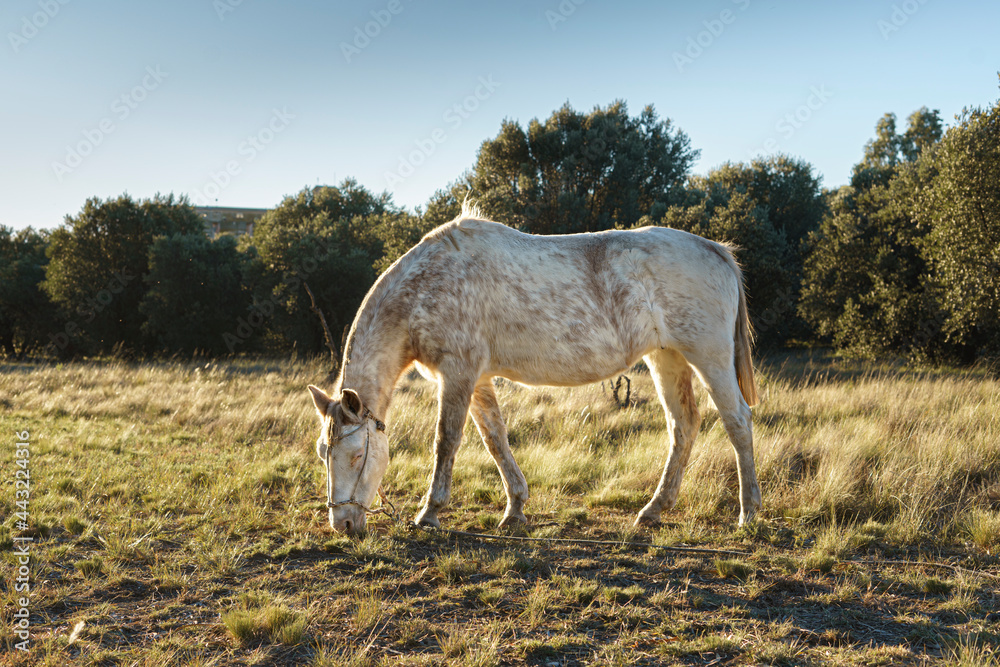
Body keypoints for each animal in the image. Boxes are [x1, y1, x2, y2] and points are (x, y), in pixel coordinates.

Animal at [307, 207, 760, 536]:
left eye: (358, 454)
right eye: (323, 452)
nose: (343, 524)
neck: (427, 285)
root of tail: (716, 249)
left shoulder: (458, 373)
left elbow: (446, 441)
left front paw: (430, 513)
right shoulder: (478, 379)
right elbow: (495, 439)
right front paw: (515, 509)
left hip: (709, 357)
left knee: (737, 422)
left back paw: (748, 512)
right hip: (667, 358)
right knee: (683, 425)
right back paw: (653, 510)